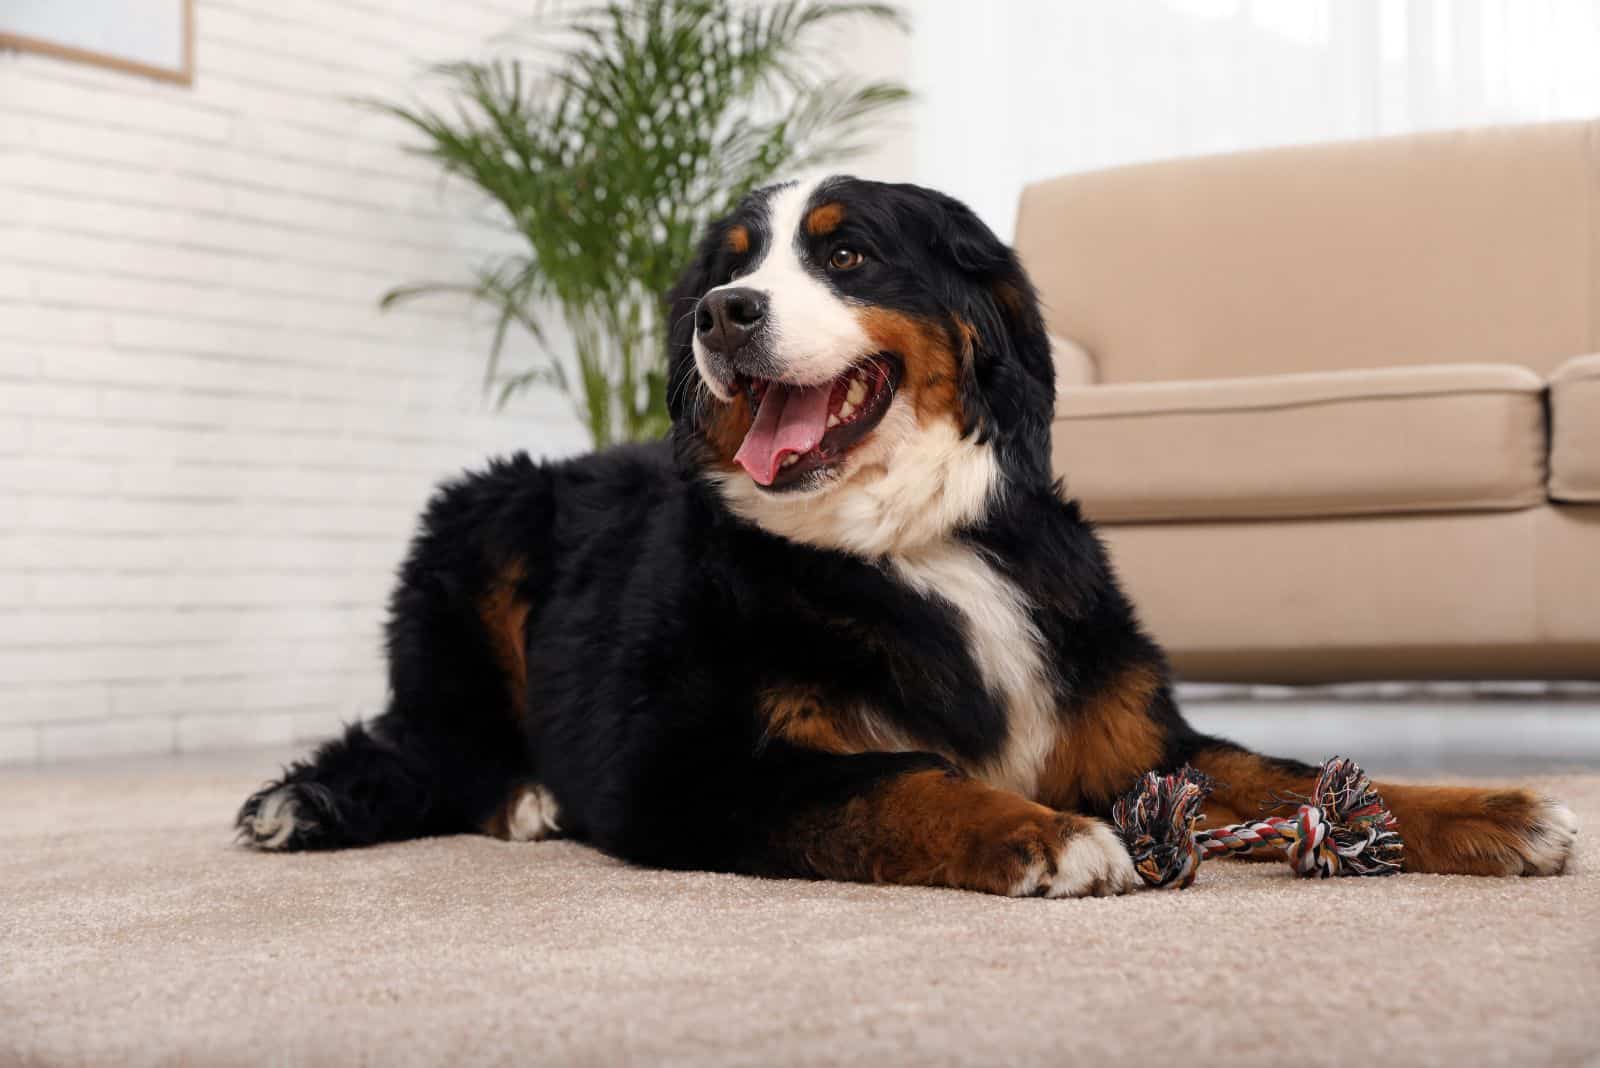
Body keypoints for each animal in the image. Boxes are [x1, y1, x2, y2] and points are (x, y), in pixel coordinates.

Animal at [236, 179, 1574, 895]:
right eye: (727, 268)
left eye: (845, 250)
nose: (725, 314)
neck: (915, 545)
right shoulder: (688, 765)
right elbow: (893, 781)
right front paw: (1039, 833)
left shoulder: (1136, 734)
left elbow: (1290, 775)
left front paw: (1489, 811)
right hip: (481, 525)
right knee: (434, 745)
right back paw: (499, 798)